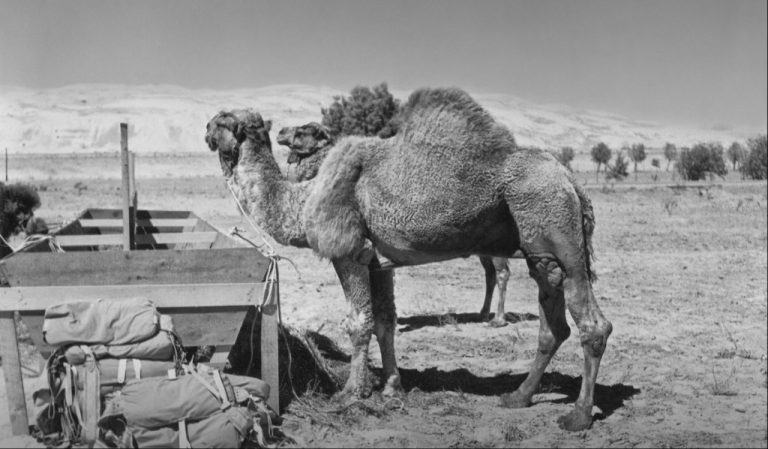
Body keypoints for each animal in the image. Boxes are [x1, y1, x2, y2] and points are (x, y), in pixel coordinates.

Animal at [276, 121, 513, 327]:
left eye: (305, 131)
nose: (280, 132)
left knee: (502, 273)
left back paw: (499, 319)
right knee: (489, 273)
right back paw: (483, 313)